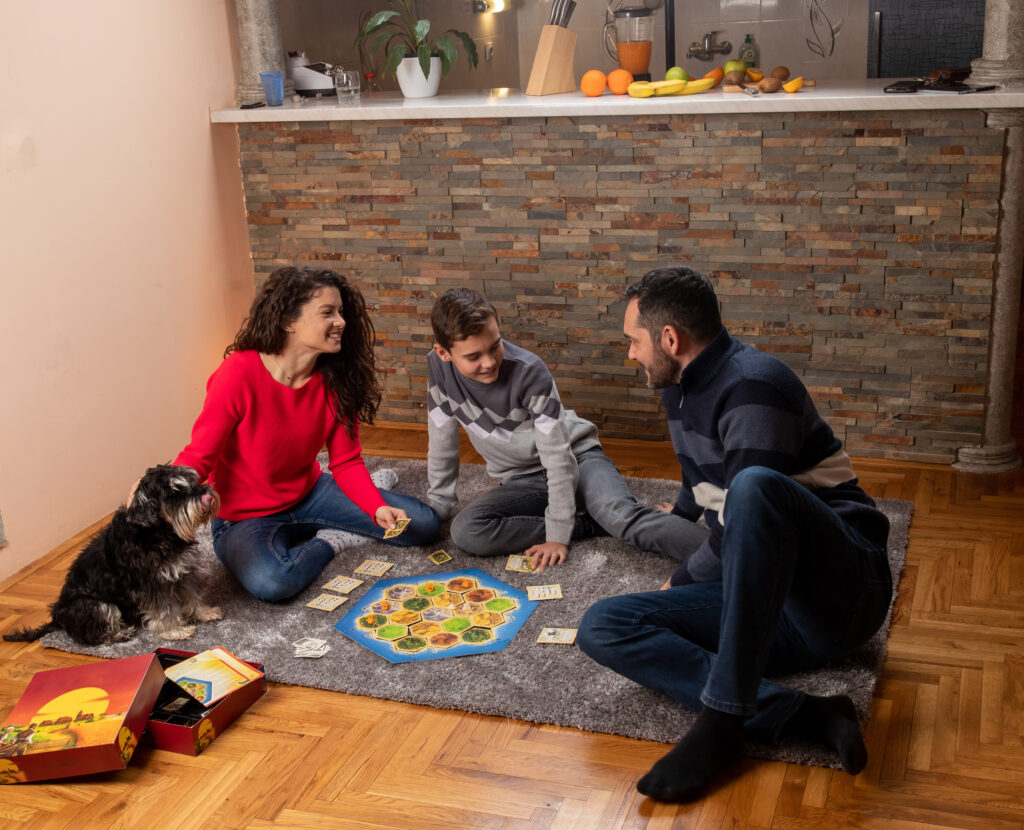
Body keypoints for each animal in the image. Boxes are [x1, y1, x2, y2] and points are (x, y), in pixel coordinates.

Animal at [4, 464, 221, 646]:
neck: (156, 531)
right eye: (174, 493)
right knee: (91, 636)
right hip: (96, 605)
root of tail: (57, 618)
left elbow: (192, 596)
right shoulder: (152, 585)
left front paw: (204, 613)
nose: (207, 496)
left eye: (193, 480)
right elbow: (164, 610)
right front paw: (174, 632)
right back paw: (119, 634)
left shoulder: (183, 570)